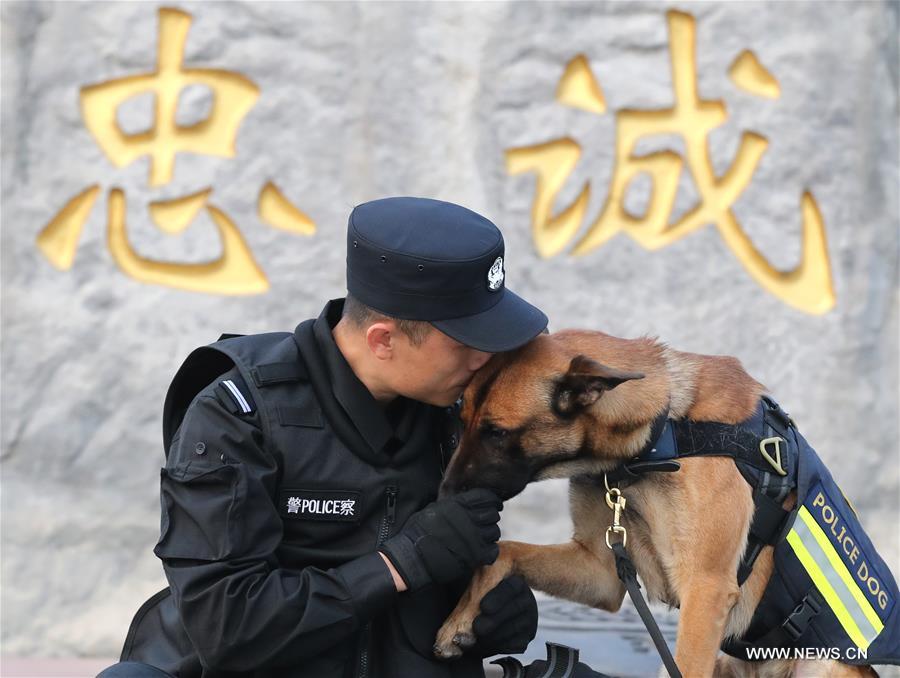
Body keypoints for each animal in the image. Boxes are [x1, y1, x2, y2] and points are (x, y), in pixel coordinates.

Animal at [432, 330, 876, 678]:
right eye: (459, 419)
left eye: (496, 433)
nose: (443, 499)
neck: (659, 433)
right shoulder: (600, 573)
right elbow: (504, 551)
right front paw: (459, 619)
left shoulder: (706, 589)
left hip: (818, 664)